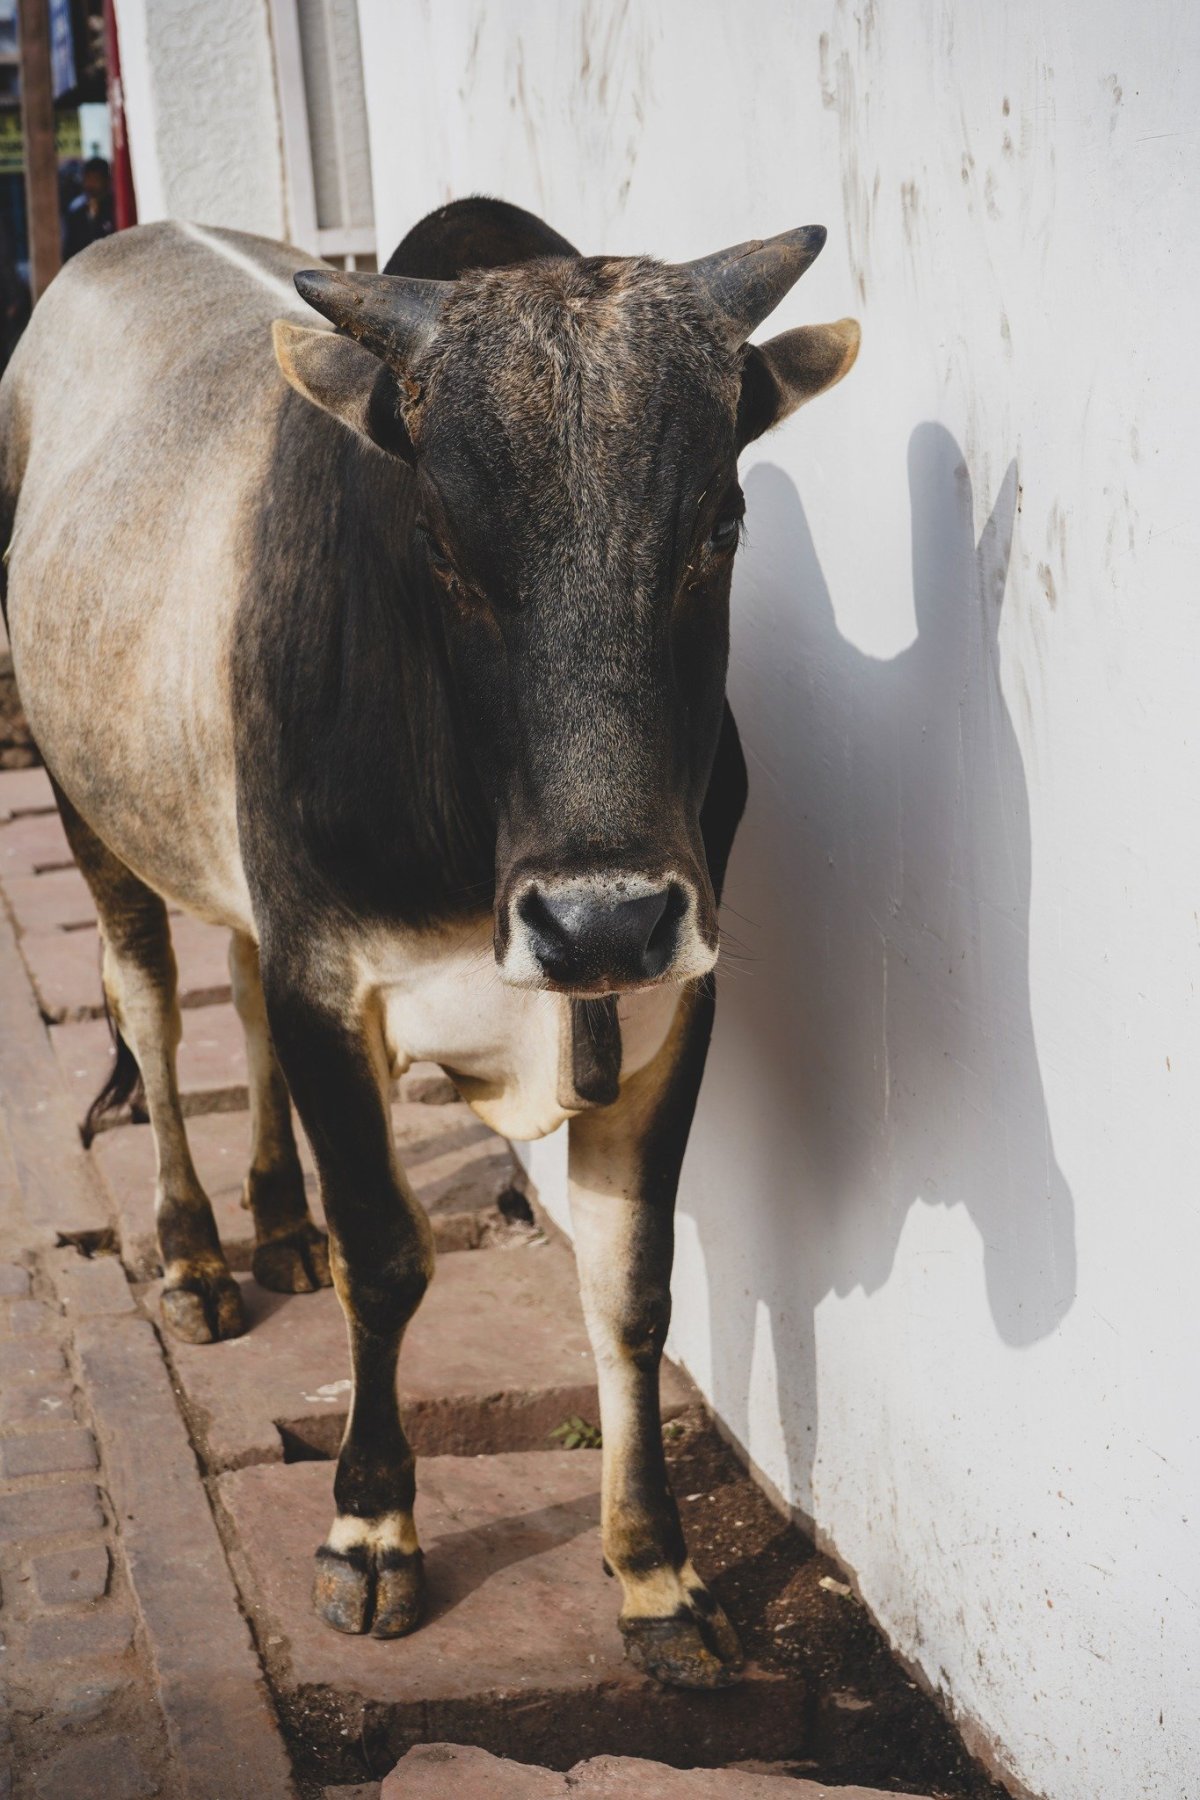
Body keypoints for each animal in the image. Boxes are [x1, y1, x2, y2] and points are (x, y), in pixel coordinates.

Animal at [2, 197, 863, 1684]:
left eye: (724, 519)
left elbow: (633, 1290)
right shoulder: (330, 984)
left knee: (230, 992)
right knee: (153, 1006)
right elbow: (390, 1258)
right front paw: (370, 1530)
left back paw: (275, 1224)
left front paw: (656, 1575)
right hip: (83, 802)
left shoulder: (669, 1006)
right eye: (446, 544)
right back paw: (196, 1252)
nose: (601, 915)